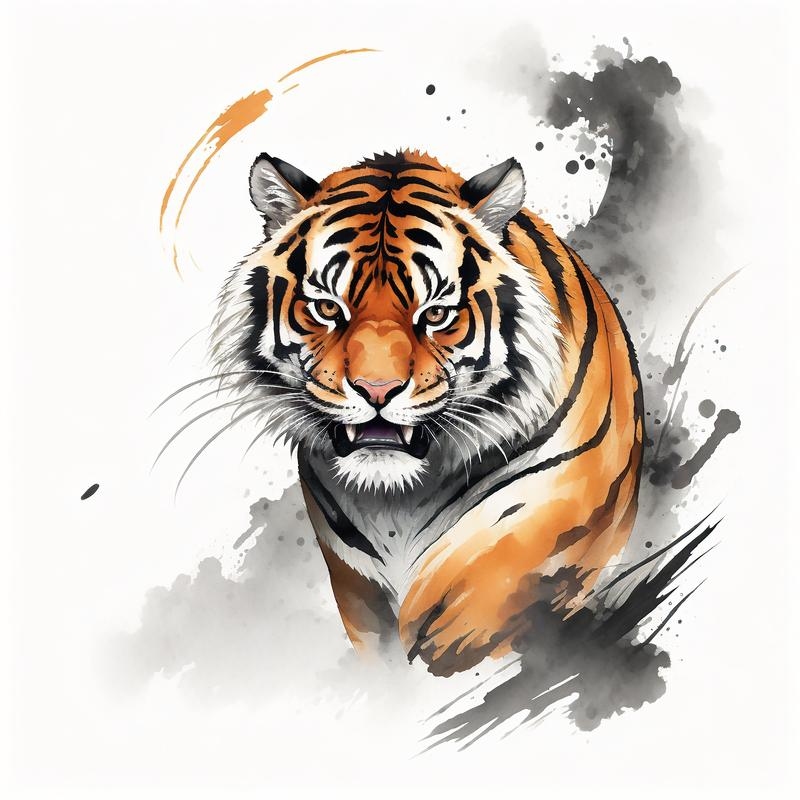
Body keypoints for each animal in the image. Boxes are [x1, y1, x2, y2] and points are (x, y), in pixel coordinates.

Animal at [210, 149, 643, 677]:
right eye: (328, 309)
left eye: (435, 314)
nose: (377, 390)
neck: (396, 501)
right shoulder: (357, 586)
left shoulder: (538, 523)